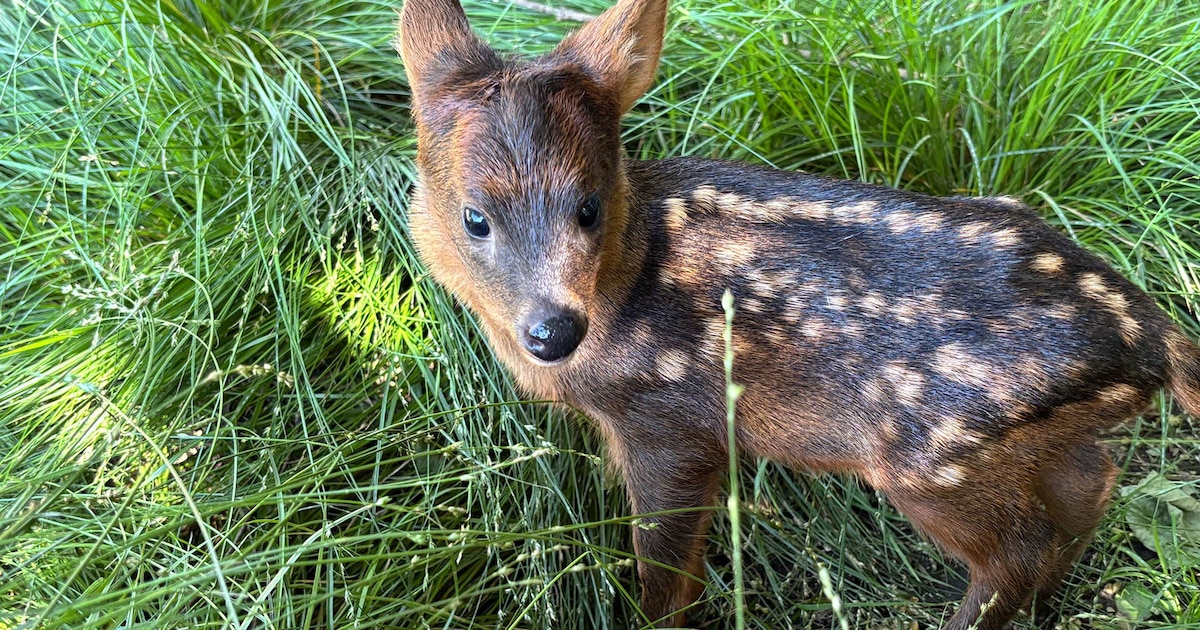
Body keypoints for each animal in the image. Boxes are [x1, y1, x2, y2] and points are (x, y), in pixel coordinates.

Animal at [394, 0, 1200, 627]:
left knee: (1019, 551)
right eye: (474, 217)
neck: (630, 284)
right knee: (1092, 481)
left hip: (938, 459)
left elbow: (665, 571)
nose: (552, 330)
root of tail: (1155, 336)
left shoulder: (670, 421)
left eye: (588, 206)